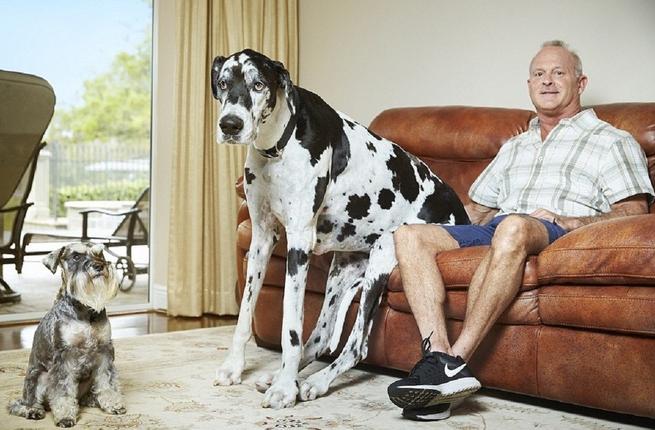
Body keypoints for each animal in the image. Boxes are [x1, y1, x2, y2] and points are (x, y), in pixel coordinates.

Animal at [7, 242, 125, 427]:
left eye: (100, 254)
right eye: (76, 256)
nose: (99, 266)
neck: (84, 309)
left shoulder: (104, 352)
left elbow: (107, 383)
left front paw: (113, 404)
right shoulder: (64, 357)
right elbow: (62, 391)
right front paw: (65, 417)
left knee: (85, 396)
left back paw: (93, 400)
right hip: (38, 377)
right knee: (22, 403)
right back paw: (33, 411)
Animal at [211, 49, 469, 409]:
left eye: (258, 84)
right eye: (223, 83)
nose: (230, 124)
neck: (278, 147)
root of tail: (462, 215)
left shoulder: (298, 244)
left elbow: (291, 327)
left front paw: (285, 390)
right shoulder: (262, 239)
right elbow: (245, 314)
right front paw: (234, 368)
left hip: (384, 253)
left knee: (357, 344)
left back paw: (312, 382)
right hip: (341, 271)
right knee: (321, 337)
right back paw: (282, 376)